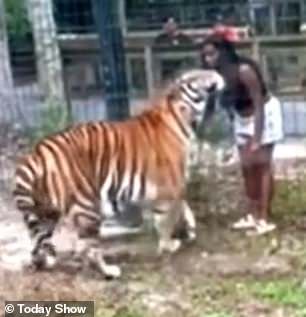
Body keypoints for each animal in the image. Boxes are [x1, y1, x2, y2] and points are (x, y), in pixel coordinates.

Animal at [13, 69, 225, 276]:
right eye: (197, 74)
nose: (217, 74)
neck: (182, 113)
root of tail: (35, 156)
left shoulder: (173, 186)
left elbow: (183, 207)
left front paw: (190, 229)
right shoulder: (169, 186)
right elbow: (166, 220)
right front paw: (169, 245)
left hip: (45, 213)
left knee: (39, 243)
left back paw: (43, 263)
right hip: (87, 207)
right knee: (87, 247)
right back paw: (109, 271)